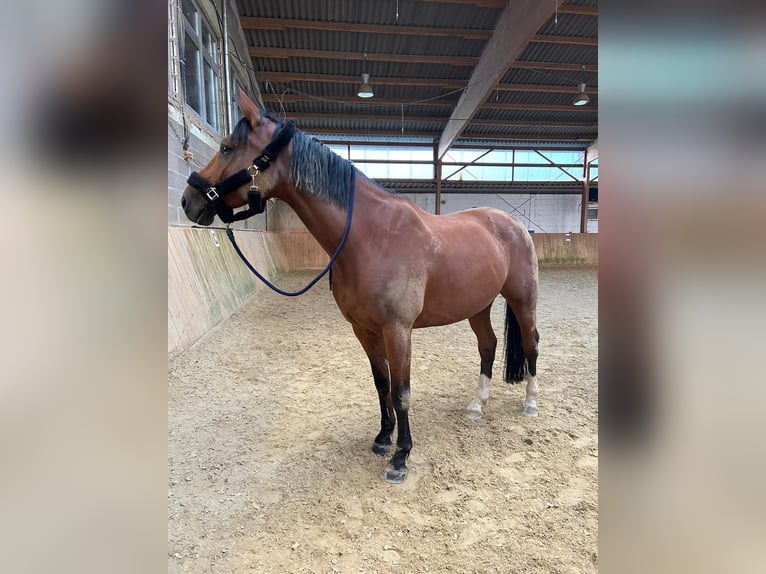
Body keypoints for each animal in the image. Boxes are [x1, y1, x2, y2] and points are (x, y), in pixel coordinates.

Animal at [181, 90, 540, 484]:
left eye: (227, 148)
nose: (187, 201)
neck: (370, 236)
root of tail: (514, 224)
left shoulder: (398, 330)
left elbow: (401, 392)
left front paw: (400, 457)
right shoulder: (364, 329)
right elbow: (381, 383)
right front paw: (383, 438)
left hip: (523, 300)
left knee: (530, 343)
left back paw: (530, 401)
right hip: (478, 305)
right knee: (488, 346)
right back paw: (477, 404)